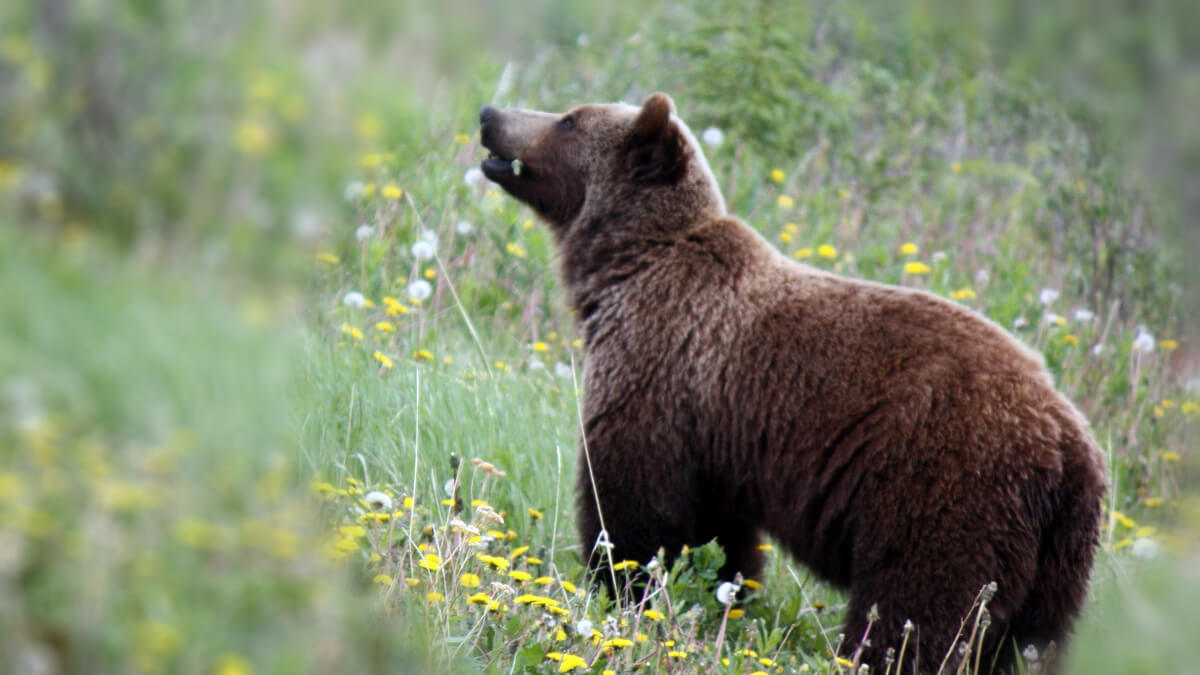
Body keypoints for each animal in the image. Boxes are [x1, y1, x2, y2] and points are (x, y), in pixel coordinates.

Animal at [477, 91, 1104, 667]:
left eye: (568, 118)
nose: (489, 114)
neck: (627, 268)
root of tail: (1068, 449)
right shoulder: (715, 431)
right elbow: (719, 534)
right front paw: (716, 595)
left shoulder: (659, 370)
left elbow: (634, 507)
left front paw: (618, 585)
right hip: (1059, 561)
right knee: (1031, 640)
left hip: (945, 488)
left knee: (920, 609)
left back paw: (865, 654)